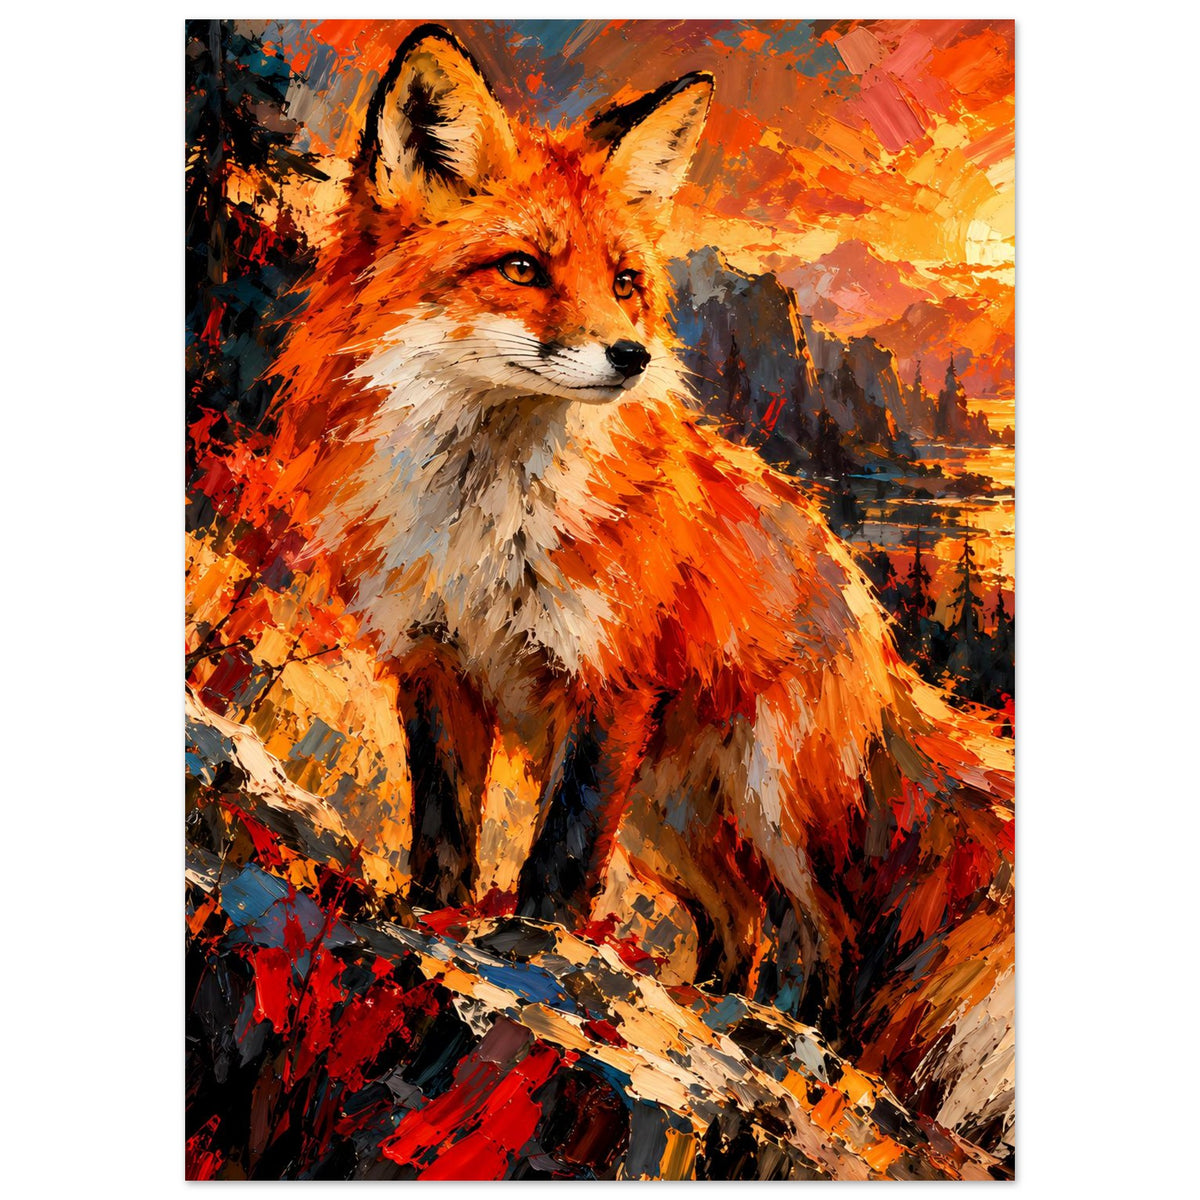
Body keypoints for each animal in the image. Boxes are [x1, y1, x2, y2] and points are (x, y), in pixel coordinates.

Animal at [256, 25, 1015, 1153]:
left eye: (624, 280)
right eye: (522, 268)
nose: (632, 355)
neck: (486, 513)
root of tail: (865, 599)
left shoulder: (605, 687)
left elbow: (561, 859)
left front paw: (533, 955)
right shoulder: (436, 664)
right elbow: (443, 824)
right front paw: (428, 915)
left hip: (771, 801)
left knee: (825, 938)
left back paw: (781, 1041)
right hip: (676, 821)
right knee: (743, 928)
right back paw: (714, 1008)